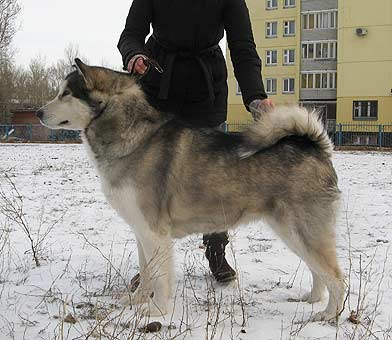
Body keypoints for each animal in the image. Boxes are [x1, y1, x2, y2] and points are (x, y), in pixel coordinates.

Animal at [36, 58, 344, 322]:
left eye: (66, 94)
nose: (38, 112)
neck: (134, 136)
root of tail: (315, 146)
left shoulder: (155, 233)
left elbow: (160, 277)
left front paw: (157, 311)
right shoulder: (141, 230)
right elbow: (146, 273)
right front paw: (136, 301)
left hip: (302, 231)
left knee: (336, 277)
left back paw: (328, 315)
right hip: (292, 233)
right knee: (319, 272)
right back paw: (313, 299)